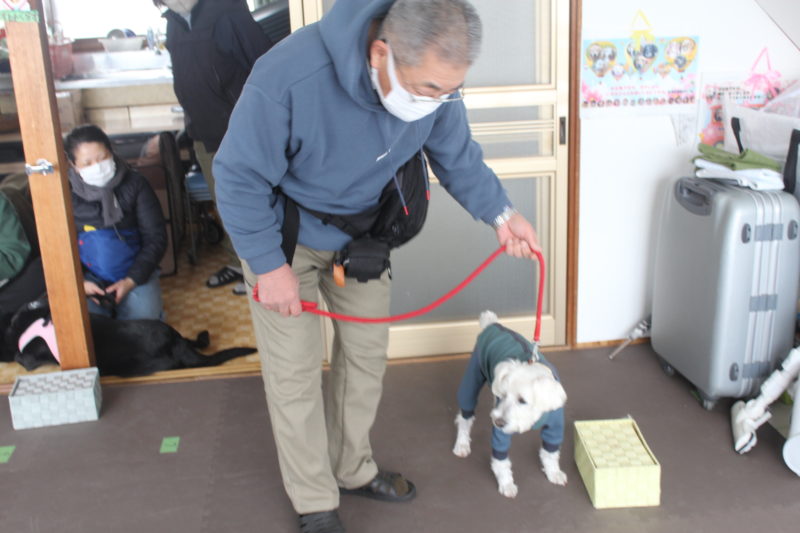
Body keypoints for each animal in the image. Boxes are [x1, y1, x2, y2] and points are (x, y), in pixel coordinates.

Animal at [452, 311, 568, 498]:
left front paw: (553, 472)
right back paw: (462, 443)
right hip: (472, 377)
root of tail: (492, 324)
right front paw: (506, 483)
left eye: (522, 400)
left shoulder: (554, 426)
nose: (497, 422)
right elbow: (501, 461)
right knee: (464, 418)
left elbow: (550, 453)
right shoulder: (501, 433)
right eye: (503, 395)